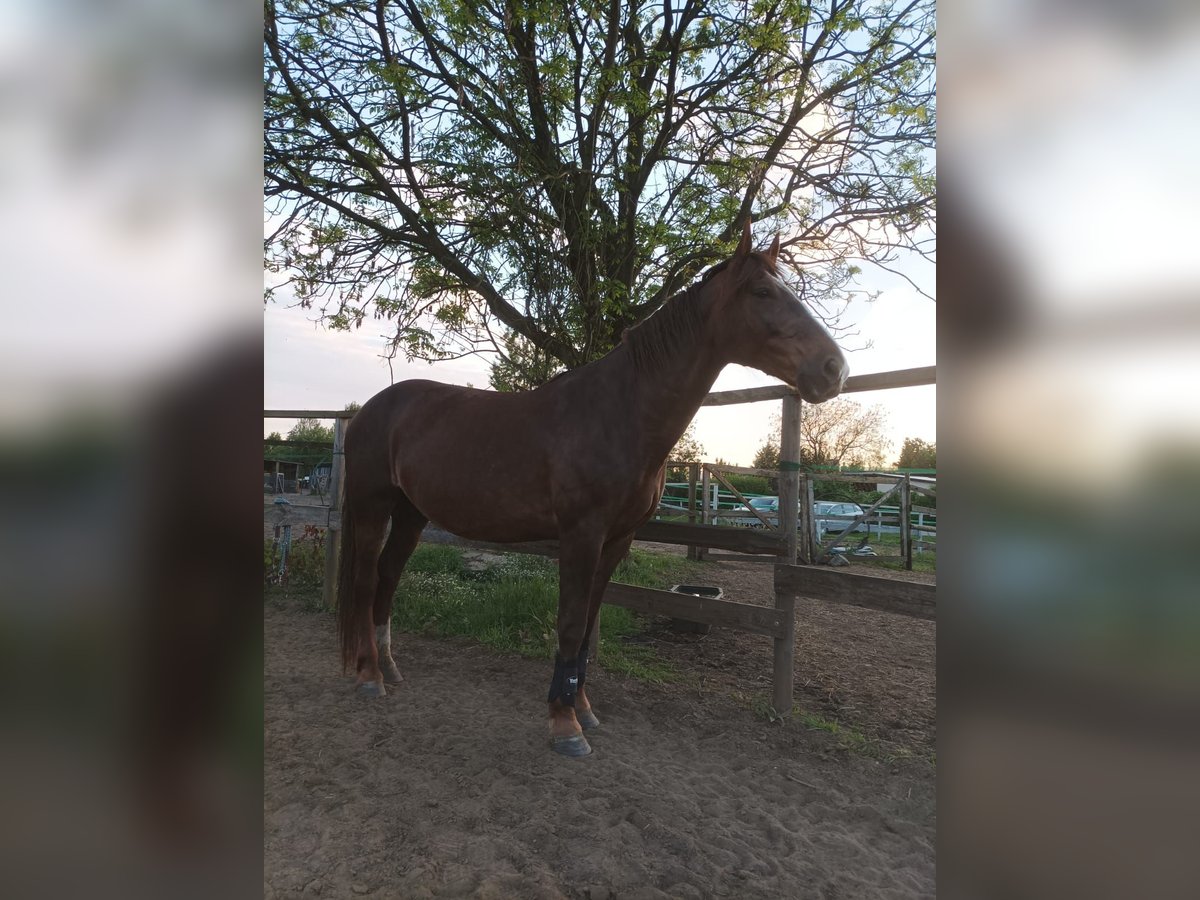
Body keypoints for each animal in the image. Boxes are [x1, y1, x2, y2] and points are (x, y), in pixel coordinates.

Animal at [333, 222, 849, 758]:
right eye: (763, 292)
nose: (834, 369)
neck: (619, 412)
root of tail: (370, 409)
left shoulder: (616, 539)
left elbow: (586, 630)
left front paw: (582, 709)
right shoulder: (581, 536)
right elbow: (571, 623)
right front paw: (565, 726)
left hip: (411, 514)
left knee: (388, 577)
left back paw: (389, 666)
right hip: (372, 508)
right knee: (367, 580)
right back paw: (369, 676)